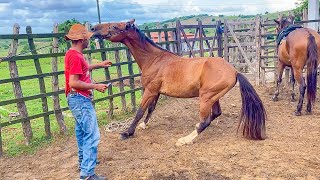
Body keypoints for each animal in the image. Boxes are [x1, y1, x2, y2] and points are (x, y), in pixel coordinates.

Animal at [91, 19, 266, 146]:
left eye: (115, 26)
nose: (93, 28)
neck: (154, 60)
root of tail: (234, 71)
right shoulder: (156, 92)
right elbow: (151, 109)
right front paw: (143, 126)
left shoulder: (150, 90)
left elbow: (140, 111)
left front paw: (127, 133)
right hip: (213, 97)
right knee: (215, 114)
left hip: (206, 97)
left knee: (205, 121)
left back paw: (184, 140)